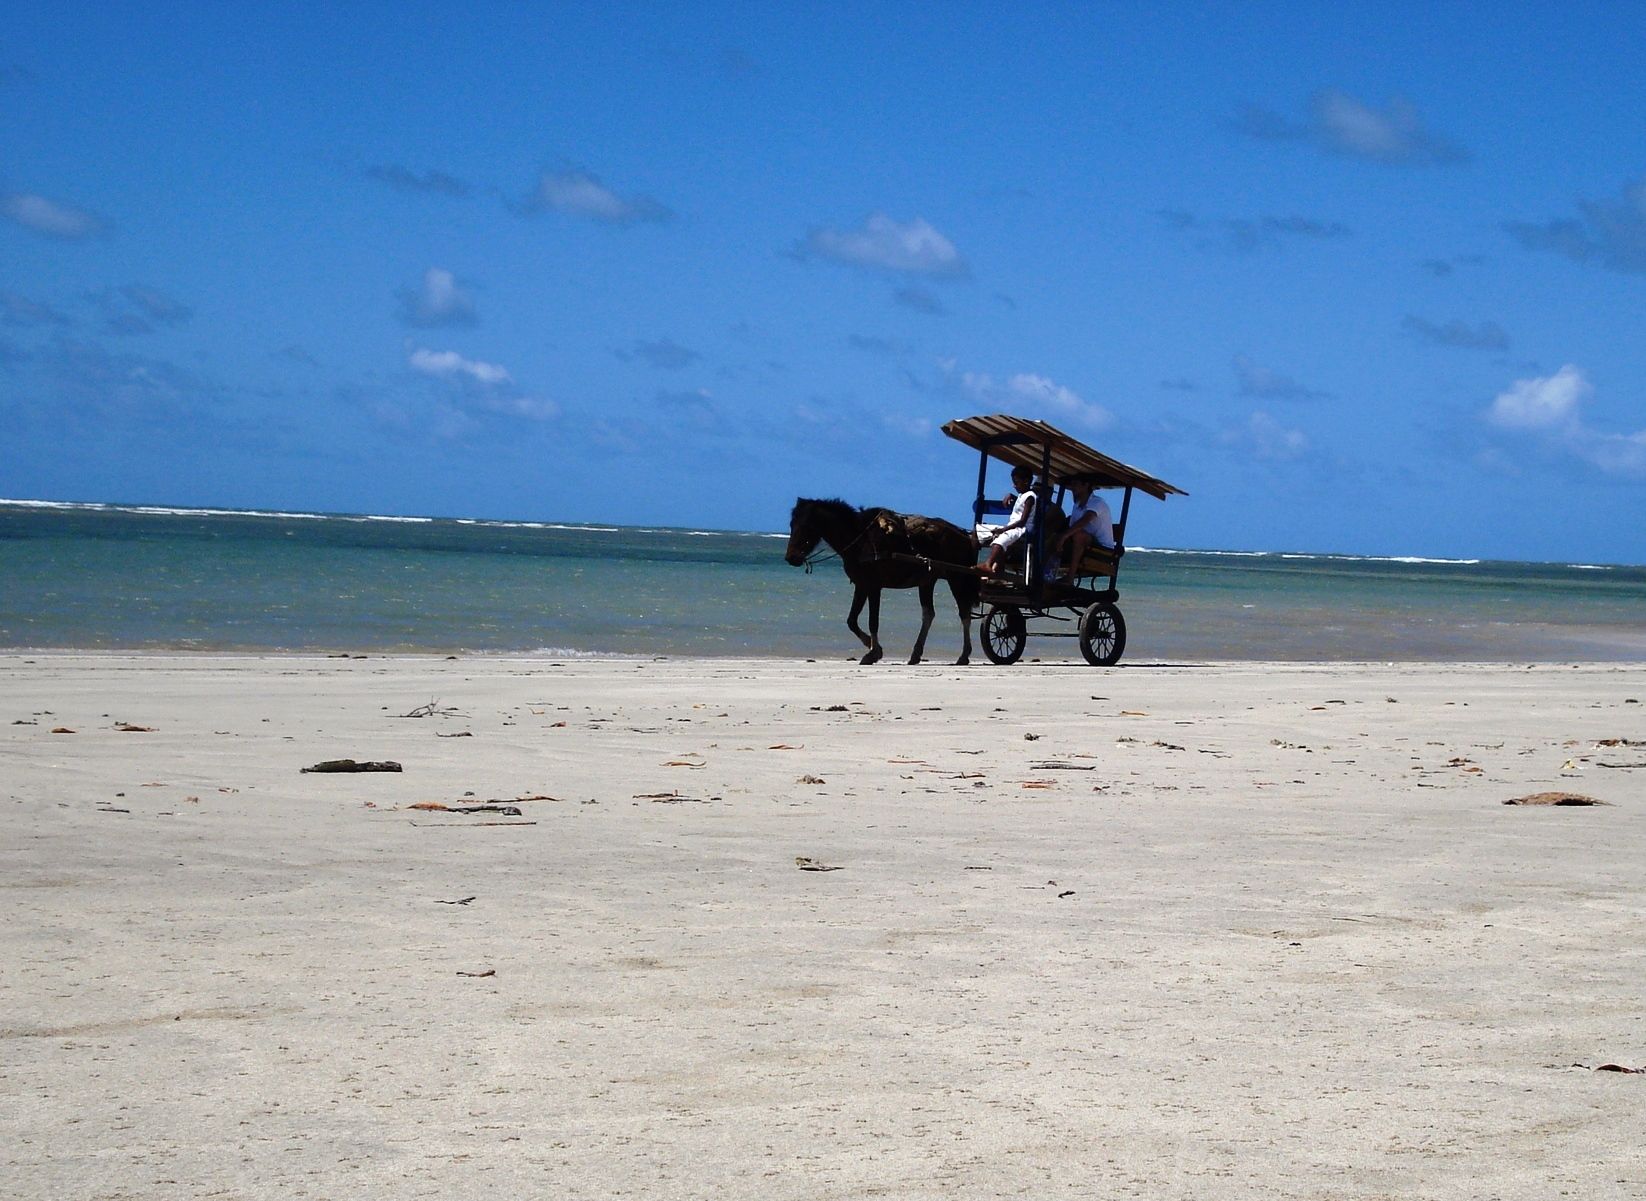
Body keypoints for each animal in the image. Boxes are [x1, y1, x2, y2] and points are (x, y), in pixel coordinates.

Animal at [783, 496, 974, 664]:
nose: (790, 558)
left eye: (806, 526)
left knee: (964, 614)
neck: (860, 540)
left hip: (957, 579)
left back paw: (964, 655)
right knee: (929, 614)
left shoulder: (874, 587)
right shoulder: (861, 585)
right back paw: (916, 654)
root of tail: (965, 535)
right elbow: (851, 620)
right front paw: (871, 645)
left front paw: (873, 653)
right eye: (792, 524)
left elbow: (873, 621)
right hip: (927, 582)